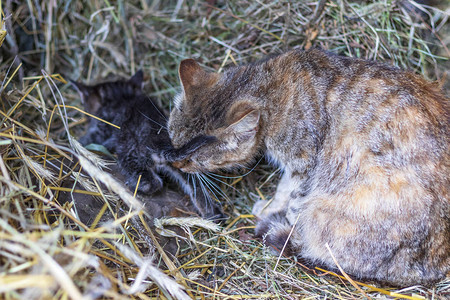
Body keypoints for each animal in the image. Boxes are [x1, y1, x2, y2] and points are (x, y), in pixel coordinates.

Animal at [169, 48, 450, 284]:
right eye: (173, 140)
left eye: (196, 159)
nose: (176, 163)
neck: (269, 88)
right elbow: (284, 189)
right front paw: (273, 208)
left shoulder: (303, 163)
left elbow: (291, 197)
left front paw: (279, 215)